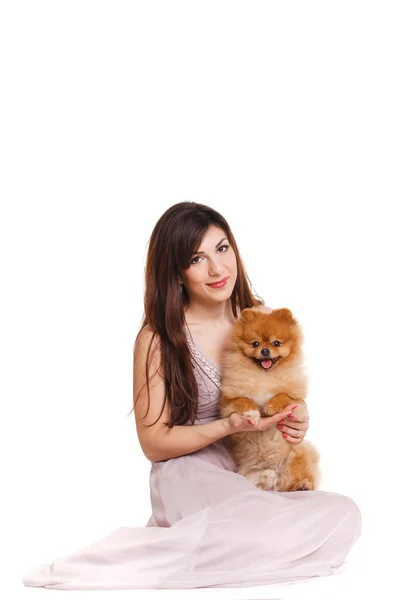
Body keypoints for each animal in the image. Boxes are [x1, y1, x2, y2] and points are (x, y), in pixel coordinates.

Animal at [220, 304, 320, 492]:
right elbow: (243, 400)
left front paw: (270, 407)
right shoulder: (227, 403)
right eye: (255, 343)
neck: (264, 375)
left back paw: (302, 485)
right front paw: (253, 414)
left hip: (299, 453)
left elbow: (282, 395)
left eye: (276, 343)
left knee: (293, 480)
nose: (265, 350)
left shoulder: (297, 404)